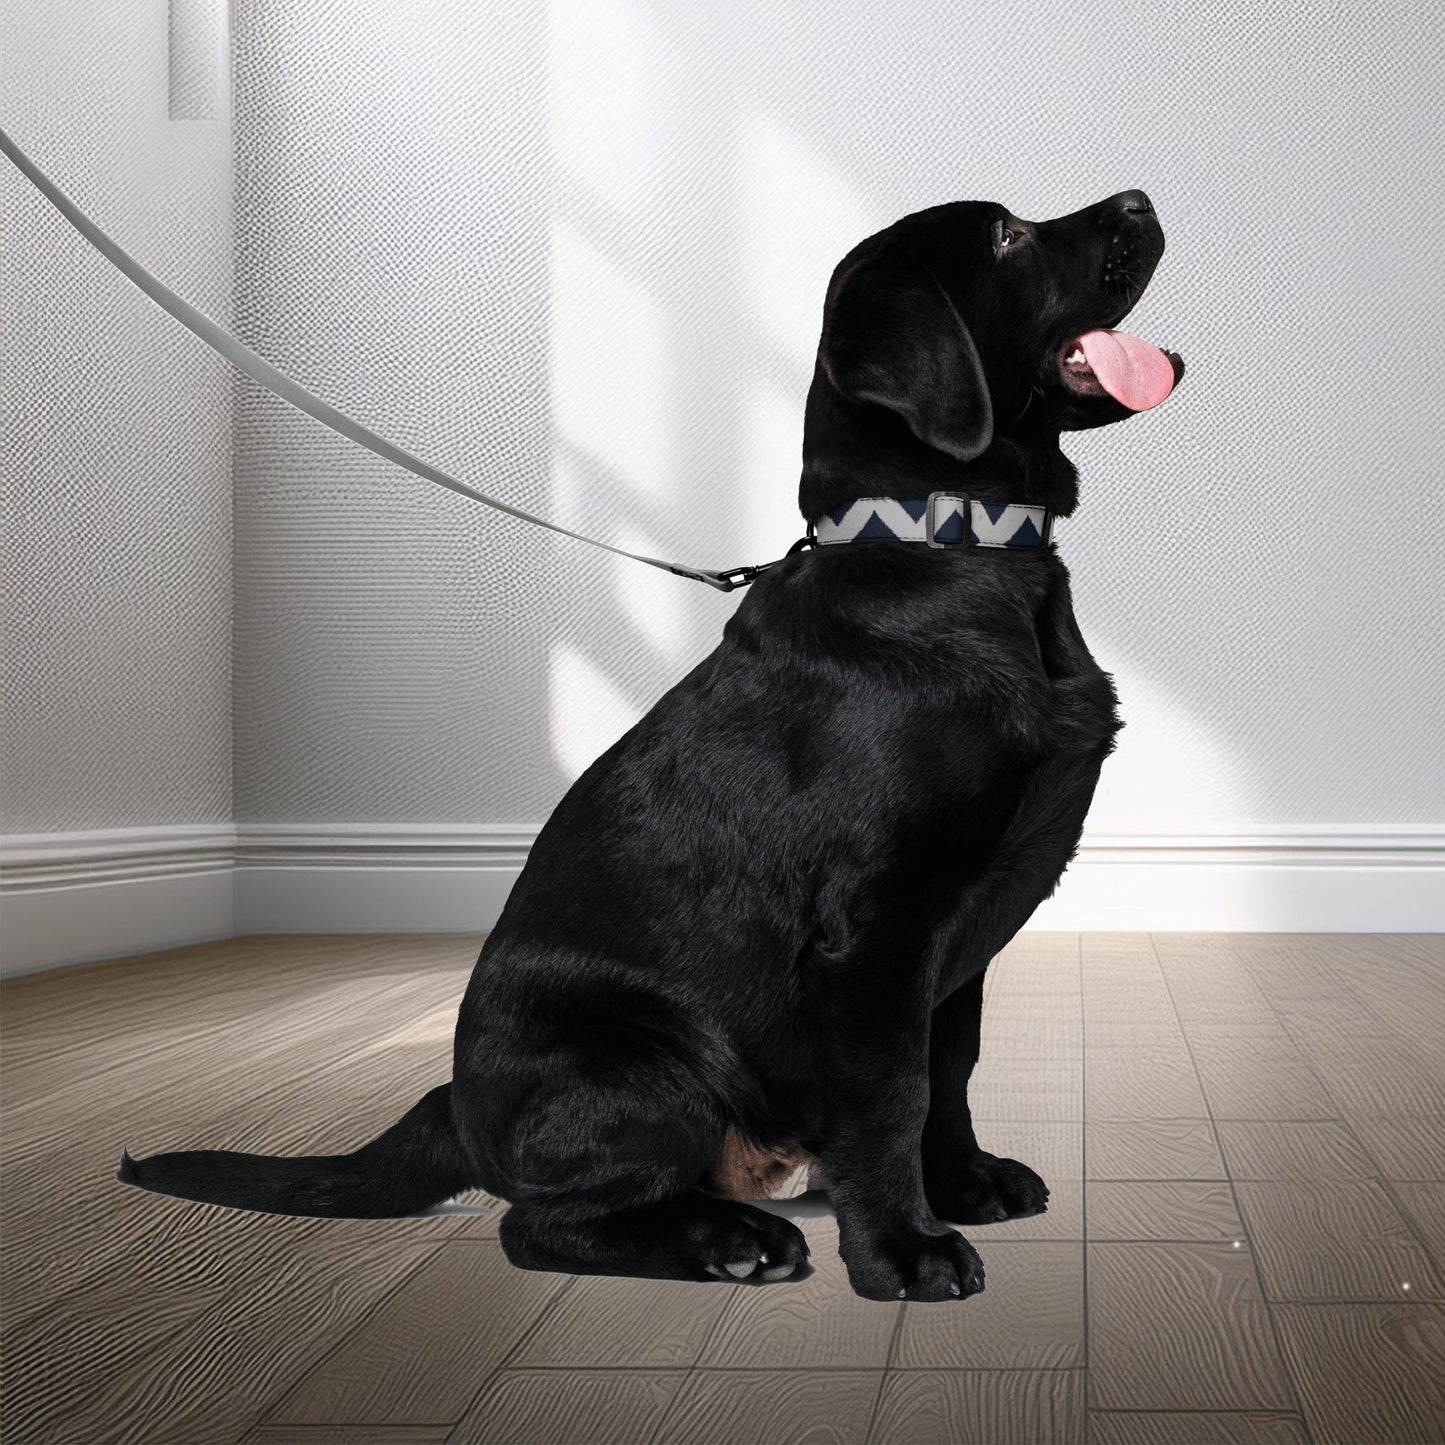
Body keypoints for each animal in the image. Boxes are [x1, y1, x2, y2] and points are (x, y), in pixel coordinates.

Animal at [118, 186, 1184, 1306]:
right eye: (1008, 237)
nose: (1140, 200)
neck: (948, 540)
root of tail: (455, 1104)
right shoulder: (878, 924)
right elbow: (892, 1090)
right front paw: (903, 1249)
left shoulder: (963, 923)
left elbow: (950, 1068)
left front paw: (964, 1181)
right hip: (646, 1060)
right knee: (540, 1224)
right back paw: (731, 1240)